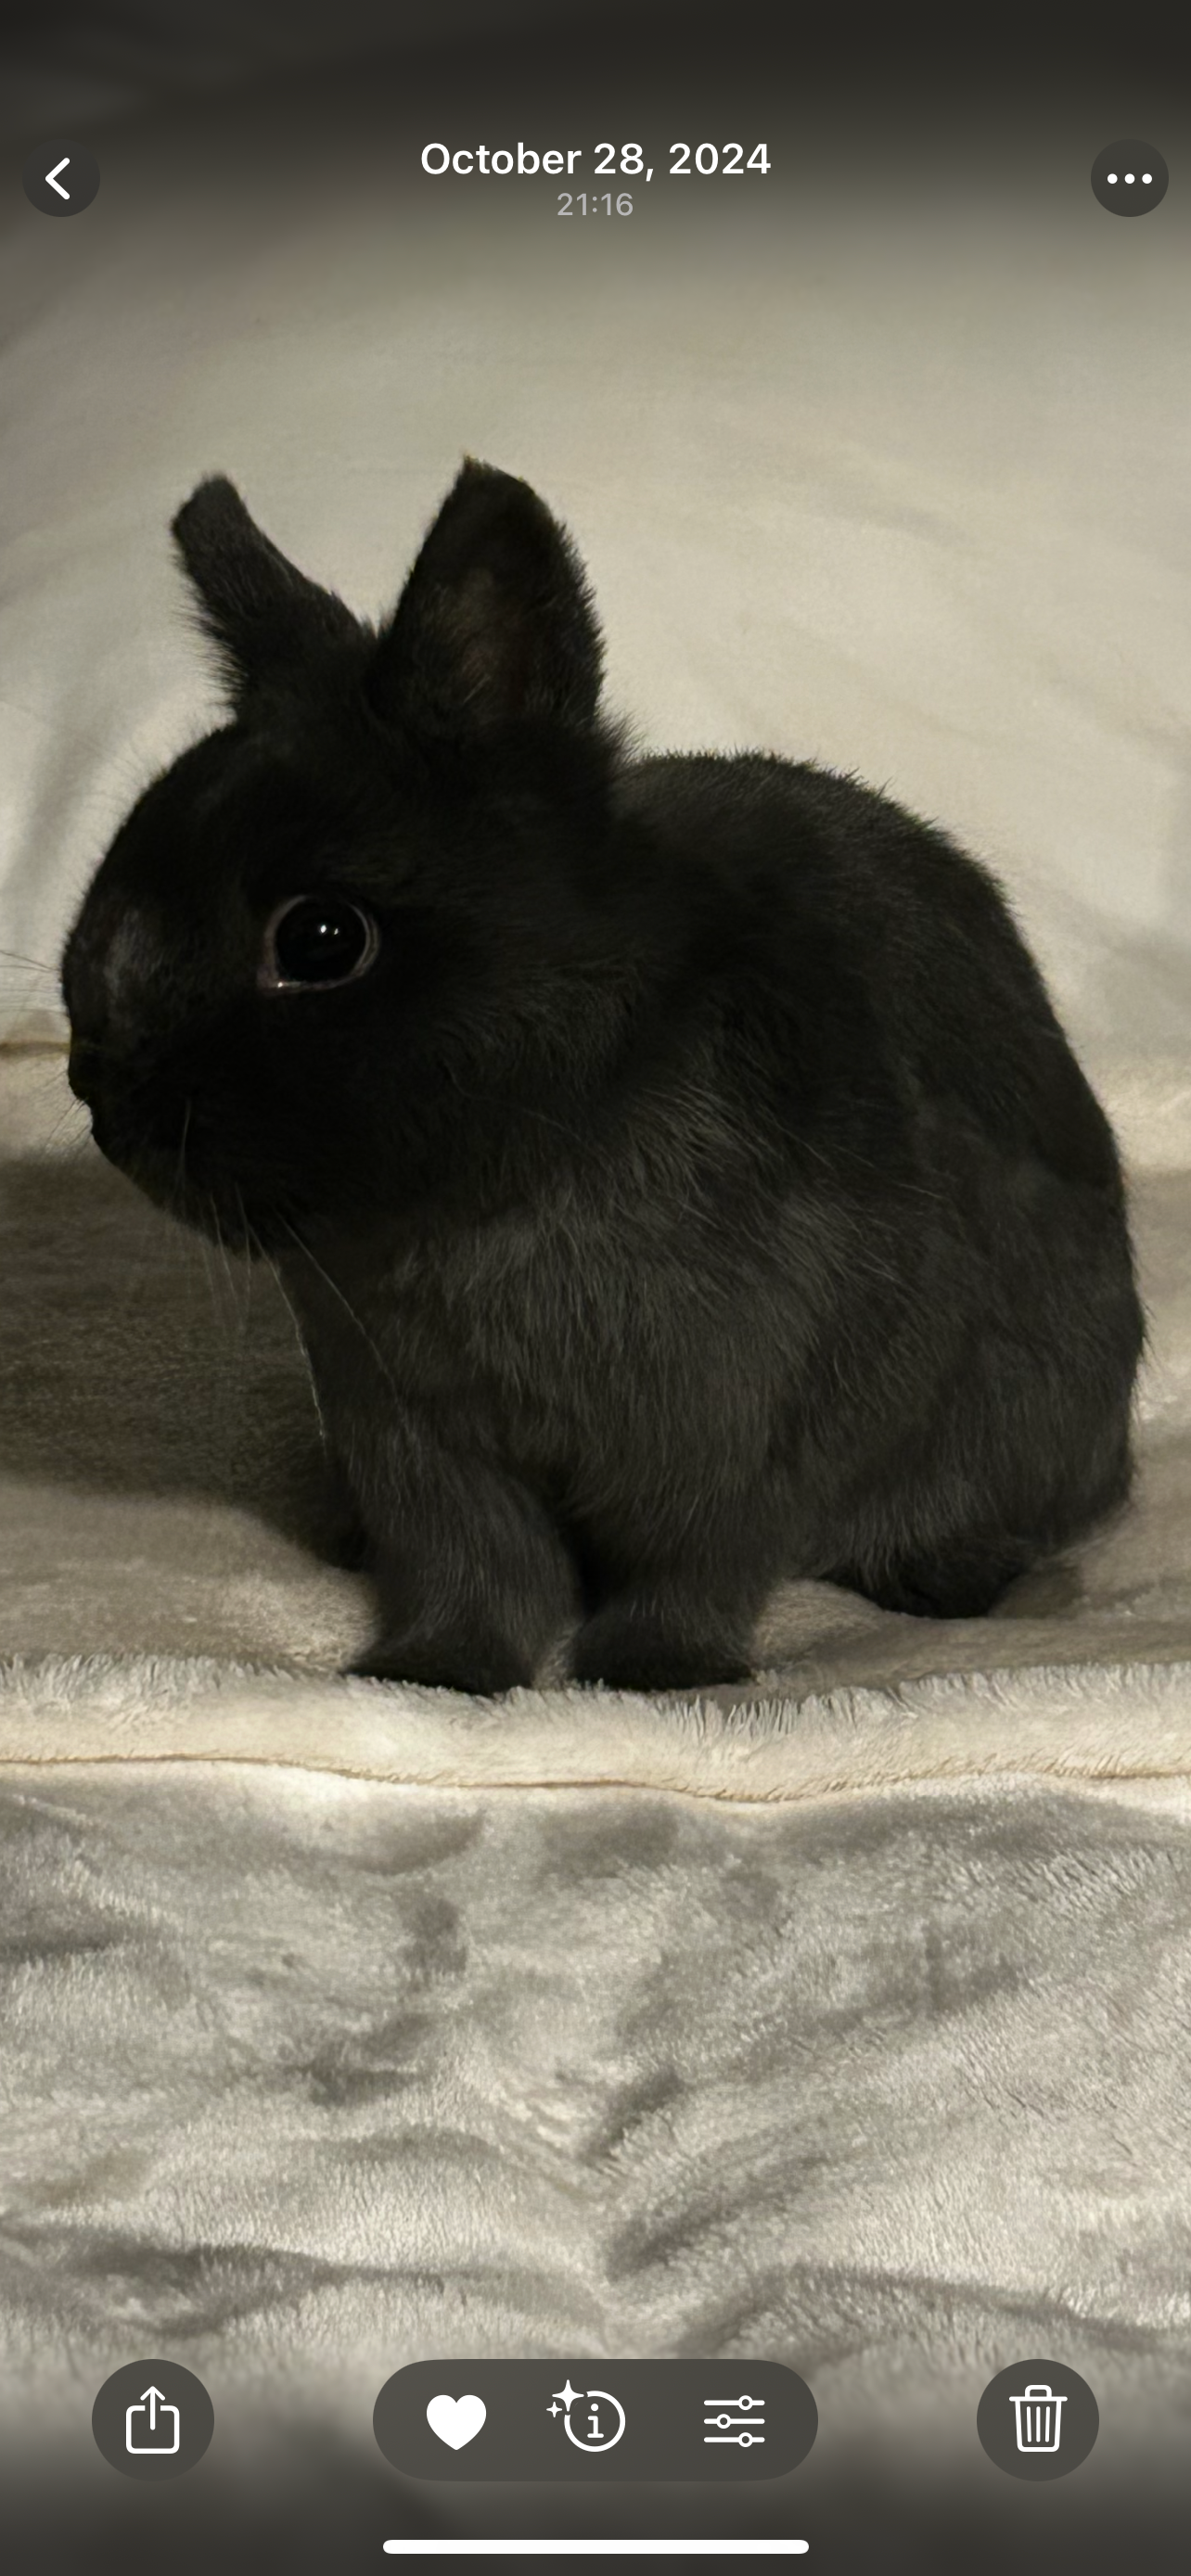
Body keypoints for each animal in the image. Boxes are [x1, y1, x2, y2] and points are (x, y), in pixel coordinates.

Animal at [62, 460, 1145, 1694]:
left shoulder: (734, 1439)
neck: (509, 1188)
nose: (103, 1097)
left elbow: (694, 1568)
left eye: (323, 940)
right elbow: (474, 1570)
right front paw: (430, 1674)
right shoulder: (417, 1444)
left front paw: (649, 1678)